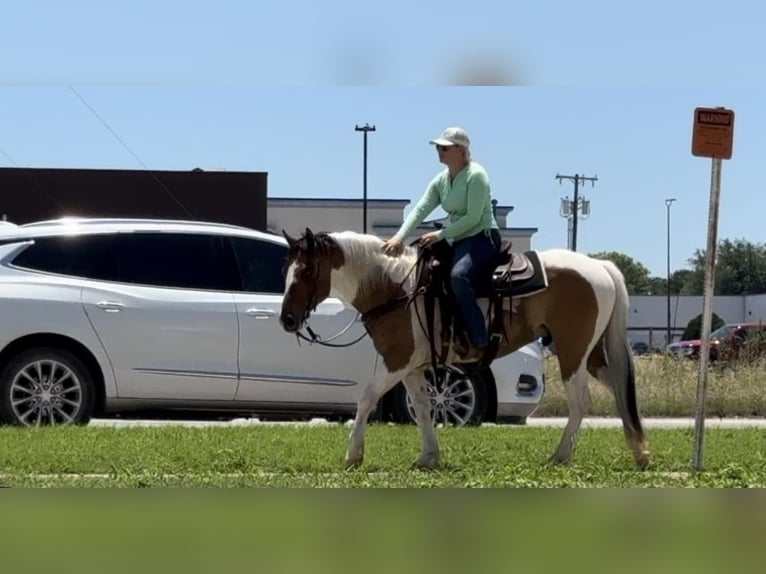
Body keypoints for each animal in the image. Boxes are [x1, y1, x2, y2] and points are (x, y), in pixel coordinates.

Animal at [280, 227, 652, 474]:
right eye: (287, 270)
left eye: (307, 270)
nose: (287, 319)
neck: (396, 287)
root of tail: (599, 266)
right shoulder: (412, 367)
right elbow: (423, 408)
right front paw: (428, 457)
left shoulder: (396, 360)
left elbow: (366, 398)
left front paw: (353, 456)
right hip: (591, 353)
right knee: (620, 388)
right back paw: (640, 452)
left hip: (573, 350)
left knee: (580, 400)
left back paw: (561, 455)